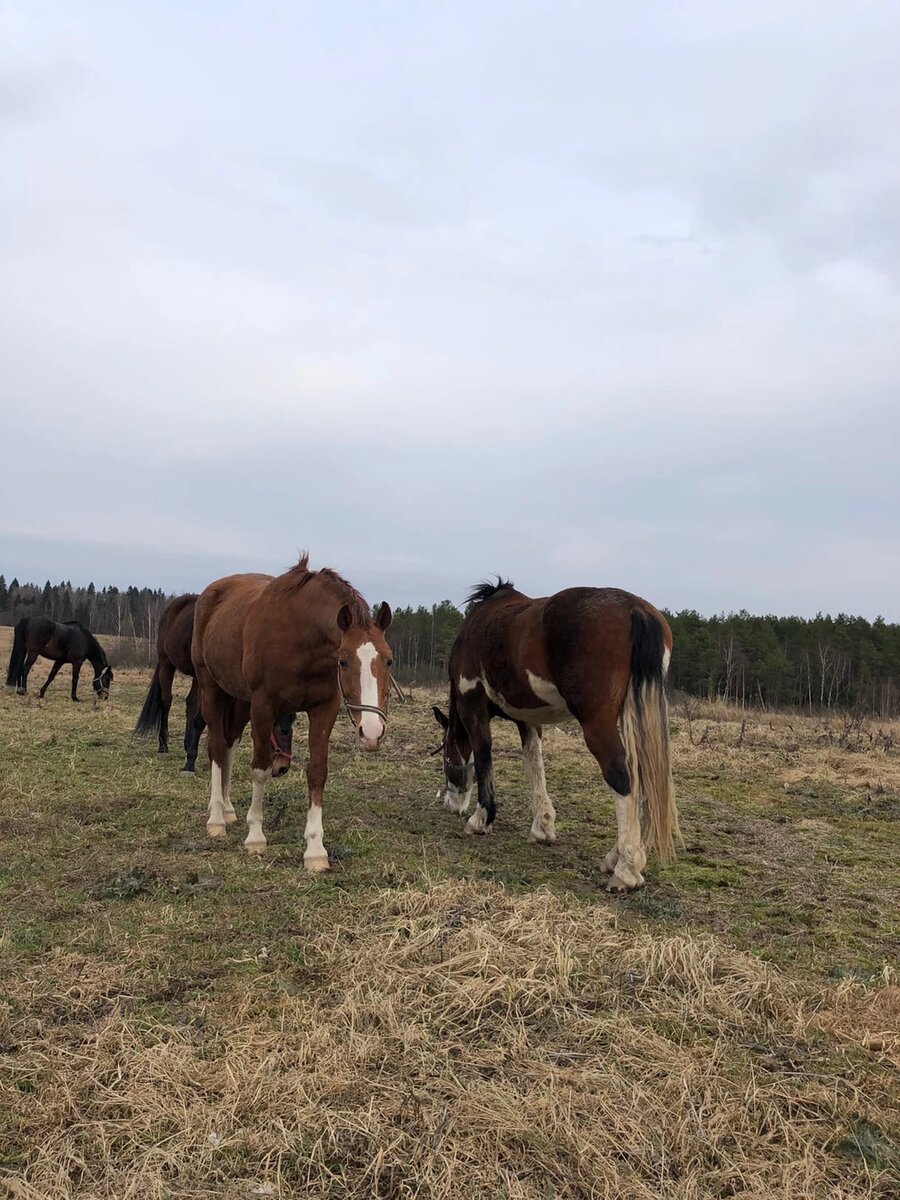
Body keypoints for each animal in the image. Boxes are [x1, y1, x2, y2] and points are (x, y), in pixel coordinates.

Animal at [135, 592, 296, 777]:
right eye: (282, 729)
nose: (282, 768)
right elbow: (201, 719)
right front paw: (190, 763)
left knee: (190, 702)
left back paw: (187, 744)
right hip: (167, 663)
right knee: (166, 701)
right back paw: (163, 745)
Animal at [192, 552, 393, 873]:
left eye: (389, 661)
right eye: (344, 661)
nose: (372, 732)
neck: (302, 639)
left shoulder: (324, 708)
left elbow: (317, 772)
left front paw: (315, 849)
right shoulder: (263, 706)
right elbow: (260, 769)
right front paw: (255, 836)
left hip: (238, 699)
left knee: (229, 744)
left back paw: (228, 809)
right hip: (211, 688)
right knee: (216, 748)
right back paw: (216, 818)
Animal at [434, 580, 681, 892]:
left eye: (445, 755)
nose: (450, 803)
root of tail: (634, 608)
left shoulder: (473, 706)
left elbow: (483, 756)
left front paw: (481, 818)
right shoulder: (527, 718)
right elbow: (533, 764)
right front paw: (542, 826)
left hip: (597, 724)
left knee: (621, 776)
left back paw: (626, 870)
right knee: (639, 778)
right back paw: (617, 857)